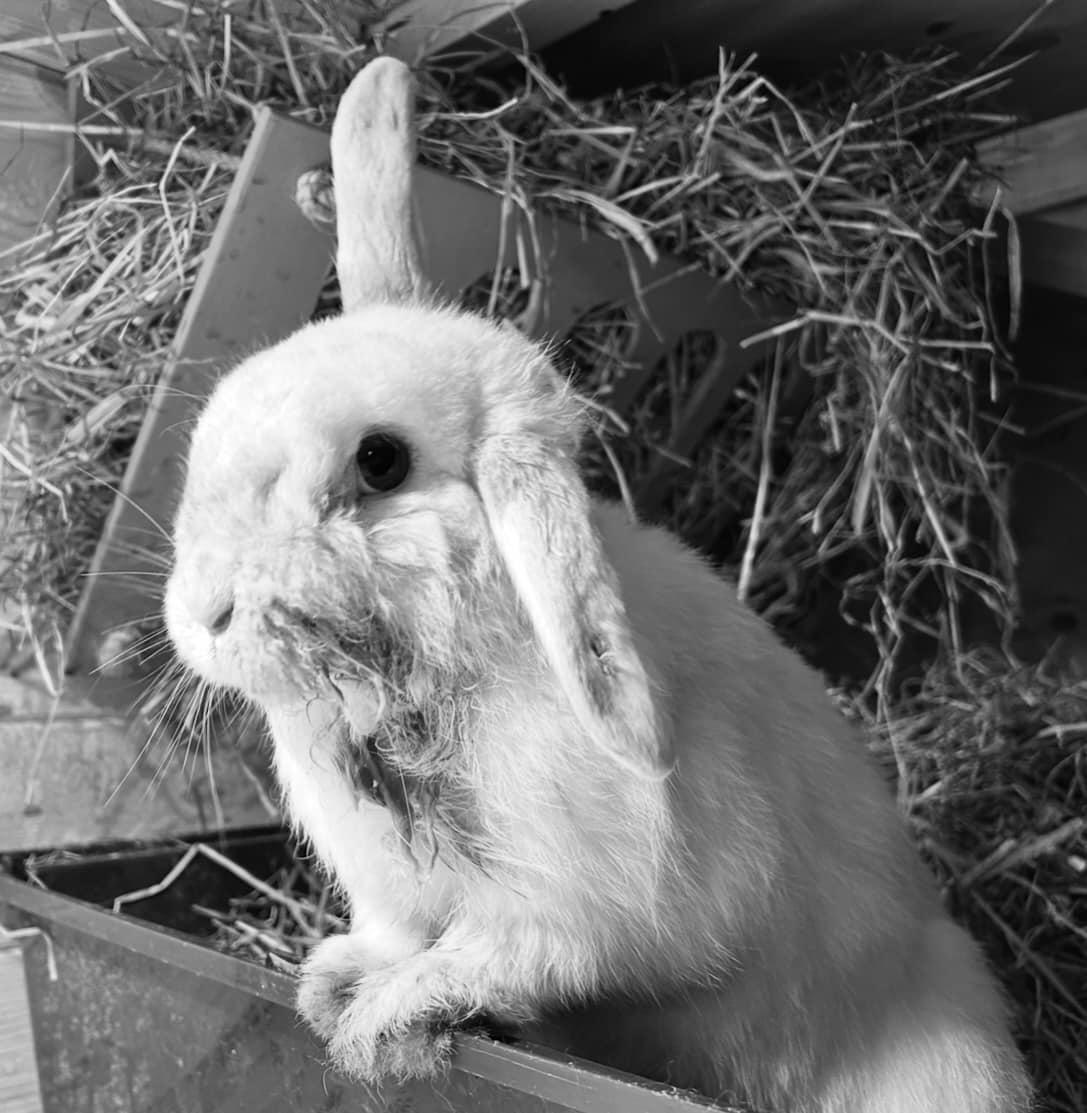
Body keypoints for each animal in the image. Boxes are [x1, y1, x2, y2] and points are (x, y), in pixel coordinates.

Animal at [164, 56, 1033, 1113]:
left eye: (379, 461)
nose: (202, 613)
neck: (417, 696)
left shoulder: (577, 920)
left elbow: (494, 959)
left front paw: (378, 1020)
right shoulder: (389, 891)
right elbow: (392, 932)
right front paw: (331, 979)